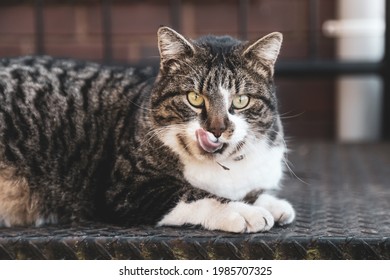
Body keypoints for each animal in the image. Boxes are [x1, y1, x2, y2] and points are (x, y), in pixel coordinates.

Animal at [0, 26, 294, 232]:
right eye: (194, 98)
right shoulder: (127, 189)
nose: (217, 129)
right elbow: (193, 194)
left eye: (241, 101)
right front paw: (244, 211)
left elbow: (251, 191)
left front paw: (272, 203)